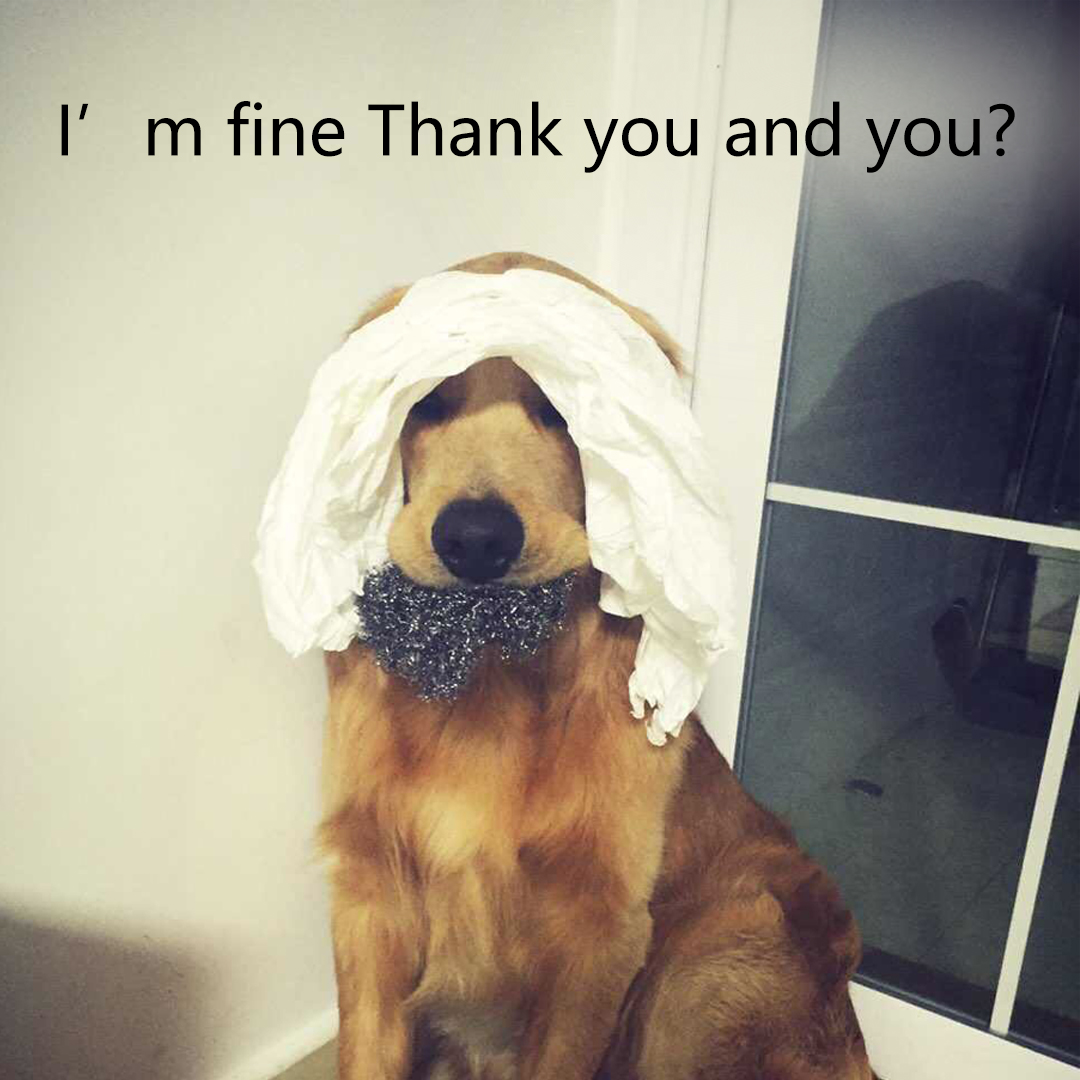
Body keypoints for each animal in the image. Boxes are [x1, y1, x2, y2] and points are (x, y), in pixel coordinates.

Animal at [317, 252, 874, 1079]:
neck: (492, 669)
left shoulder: (600, 934)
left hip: (712, 951)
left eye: (562, 406)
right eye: (427, 402)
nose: (475, 539)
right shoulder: (370, 896)